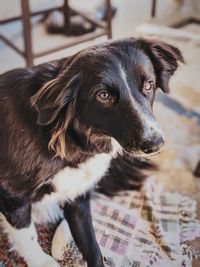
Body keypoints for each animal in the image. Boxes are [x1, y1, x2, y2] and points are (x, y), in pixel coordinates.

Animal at [0, 38, 183, 267]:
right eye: (103, 96)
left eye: (148, 85)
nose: (155, 144)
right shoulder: (13, 198)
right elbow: (27, 237)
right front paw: (42, 261)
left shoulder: (79, 193)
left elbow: (92, 246)